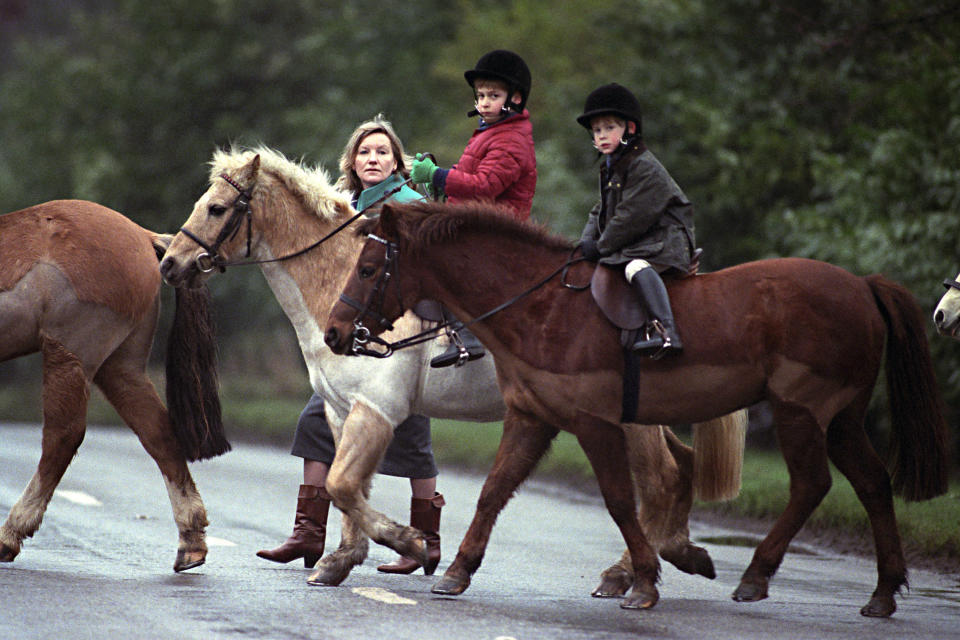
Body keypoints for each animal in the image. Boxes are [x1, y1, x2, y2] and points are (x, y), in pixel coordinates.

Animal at [0, 199, 229, 568]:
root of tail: (143, 235)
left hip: (71, 355)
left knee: (62, 437)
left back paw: (11, 532)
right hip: (120, 368)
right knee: (159, 434)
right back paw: (191, 540)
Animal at [324, 199, 952, 616]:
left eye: (370, 268)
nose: (335, 333)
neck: (541, 308)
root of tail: (862, 285)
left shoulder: (596, 424)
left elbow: (620, 501)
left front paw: (645, 581)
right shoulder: (533, 420)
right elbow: (493, 491)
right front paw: (456, 572)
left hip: (802, 412)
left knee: (812, 485)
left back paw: (754, 576)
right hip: (841, 419)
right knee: (871, 483)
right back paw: (882, 593)